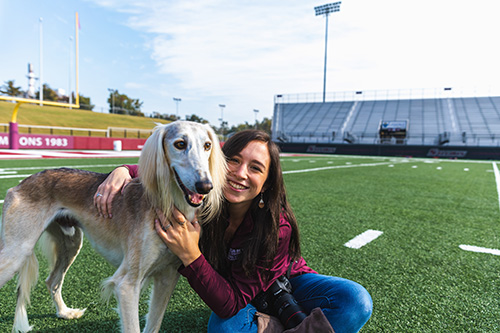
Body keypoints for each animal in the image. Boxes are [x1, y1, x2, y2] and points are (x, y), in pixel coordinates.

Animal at [0, 121, 227, 332]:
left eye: (207, 145)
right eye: (180, 144)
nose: (205, 186)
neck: (166, 207)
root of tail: (21, 183)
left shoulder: (168, 276)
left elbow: (154, 324)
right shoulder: (127, 284)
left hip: (71, 243)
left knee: (52, 280)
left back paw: (64, 312)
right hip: (16, 252)